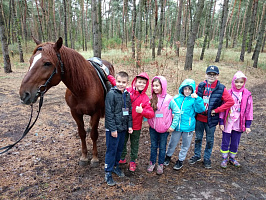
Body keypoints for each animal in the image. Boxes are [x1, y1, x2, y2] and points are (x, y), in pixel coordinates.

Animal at [18, 36, 114, 166]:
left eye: (47, 63)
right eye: (31, 61)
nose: (24, 94)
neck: (83, 88)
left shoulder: (96, 112)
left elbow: (94, 135)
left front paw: (94, 158)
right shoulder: (75, 113)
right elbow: (82, 133)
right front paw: (84, 156)